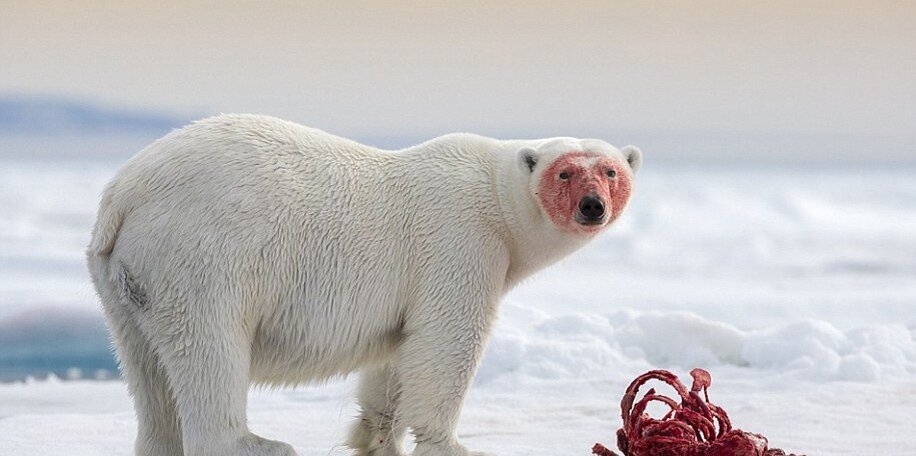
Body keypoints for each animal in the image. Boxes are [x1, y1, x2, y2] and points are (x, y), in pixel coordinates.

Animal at [87, 115, 644, 456]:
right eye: (565, 173)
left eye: (610, 170)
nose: (592, 206)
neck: (495, 197)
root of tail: (123, 195)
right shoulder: (461, 243)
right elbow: (445, 345)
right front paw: (455, 445)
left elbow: (398, 356)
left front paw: (376, 438)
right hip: (204, 255)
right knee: (210, 349)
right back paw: (258, 443)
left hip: (126, 280)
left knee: (146, 367)